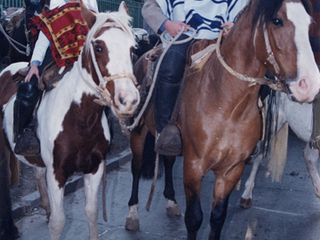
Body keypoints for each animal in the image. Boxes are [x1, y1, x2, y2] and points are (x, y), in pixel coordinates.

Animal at [0, 0, 140, 239]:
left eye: (132, 49)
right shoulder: (57, 173)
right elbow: (58, 223)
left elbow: (91, 213)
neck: (80, 118)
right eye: (99, 47)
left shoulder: (94, 168)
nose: (128, 100)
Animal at [126, 0, 320, 239]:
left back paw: (171, 202)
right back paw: (132, 214)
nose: (309, 85)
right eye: (277, 20)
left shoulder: (231, 169)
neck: (226, 103)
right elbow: (194, 218)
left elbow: (217, 217)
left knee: (168, 159)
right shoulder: (193, 167)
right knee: (136, 168)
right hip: (138, 133)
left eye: (309, 24)